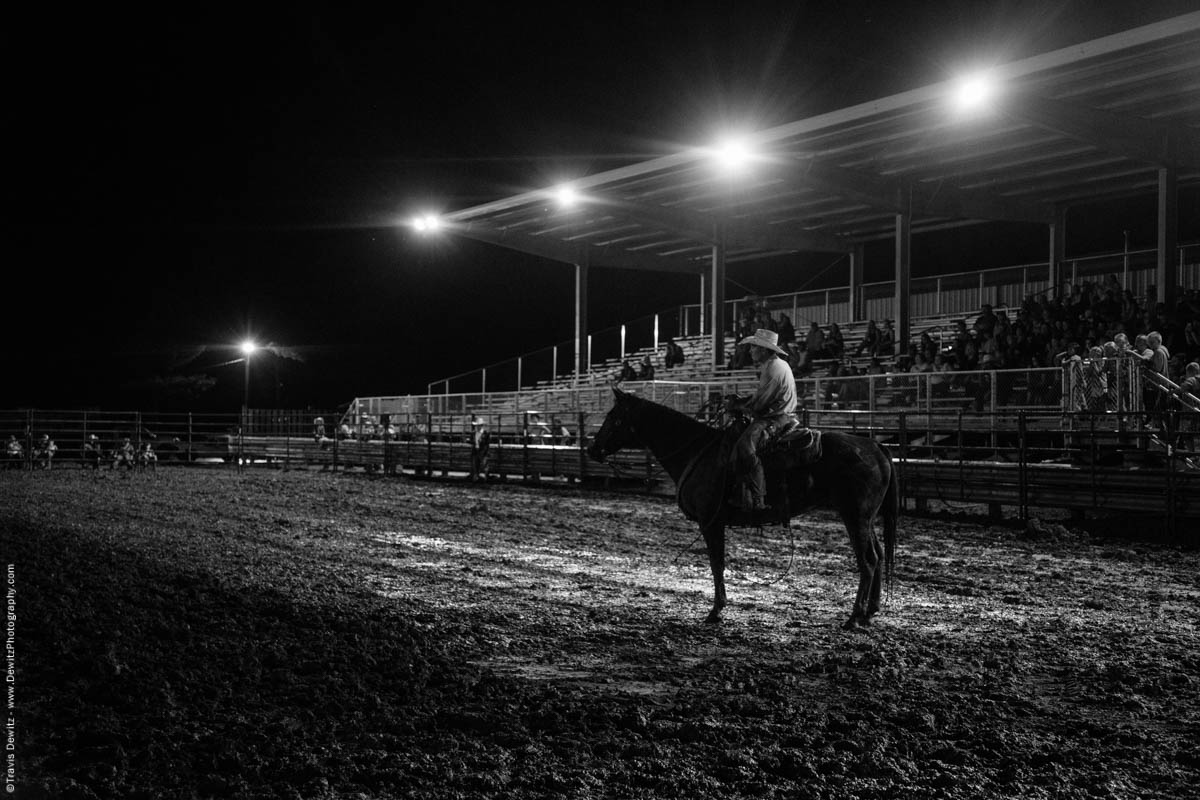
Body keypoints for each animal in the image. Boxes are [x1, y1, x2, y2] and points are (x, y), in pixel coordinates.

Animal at [585, 388, 897, 633]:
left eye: (614, 418)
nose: (592, 450)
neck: (697, 450)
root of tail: (874, 445)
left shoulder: (710, 522)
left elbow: (716, 563)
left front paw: (716, 611)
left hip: (854, 516)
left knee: (868, 560)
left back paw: (854, 617)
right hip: (866, 518)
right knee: (879, 555)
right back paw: (870, 613)